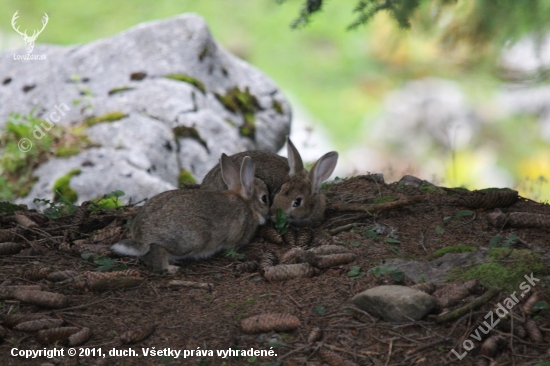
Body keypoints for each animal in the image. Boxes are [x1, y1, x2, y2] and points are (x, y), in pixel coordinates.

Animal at [111, 154, 270, 272]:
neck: (247, 203)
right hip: (191, 240)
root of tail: (142, 237)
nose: (268, 214)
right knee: (158, 250)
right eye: (264, 198)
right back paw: (171, 268)